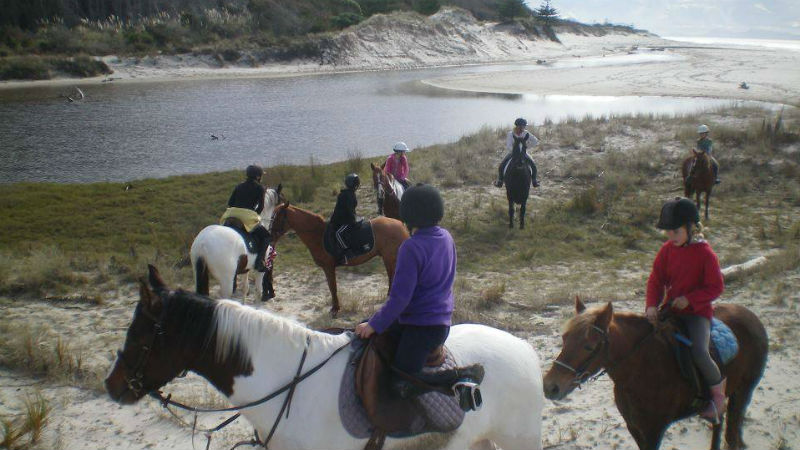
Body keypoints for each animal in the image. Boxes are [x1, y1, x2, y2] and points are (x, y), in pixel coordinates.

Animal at [268, 202, 410, 314]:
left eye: (276, 218)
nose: (270, 237)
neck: (318, 234)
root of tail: (400, 225)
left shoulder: (328, 267)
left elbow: (332, 287)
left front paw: (335, 309)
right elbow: (332, 287)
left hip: (389, 257)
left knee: (392, 275)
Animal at [544, 298, 768, 450]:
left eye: (589, 346)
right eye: (564, 338)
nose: (550, 386)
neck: (642, 370)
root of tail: (752, 317)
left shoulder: (654, 431)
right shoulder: (635, 428)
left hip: (744, 391)